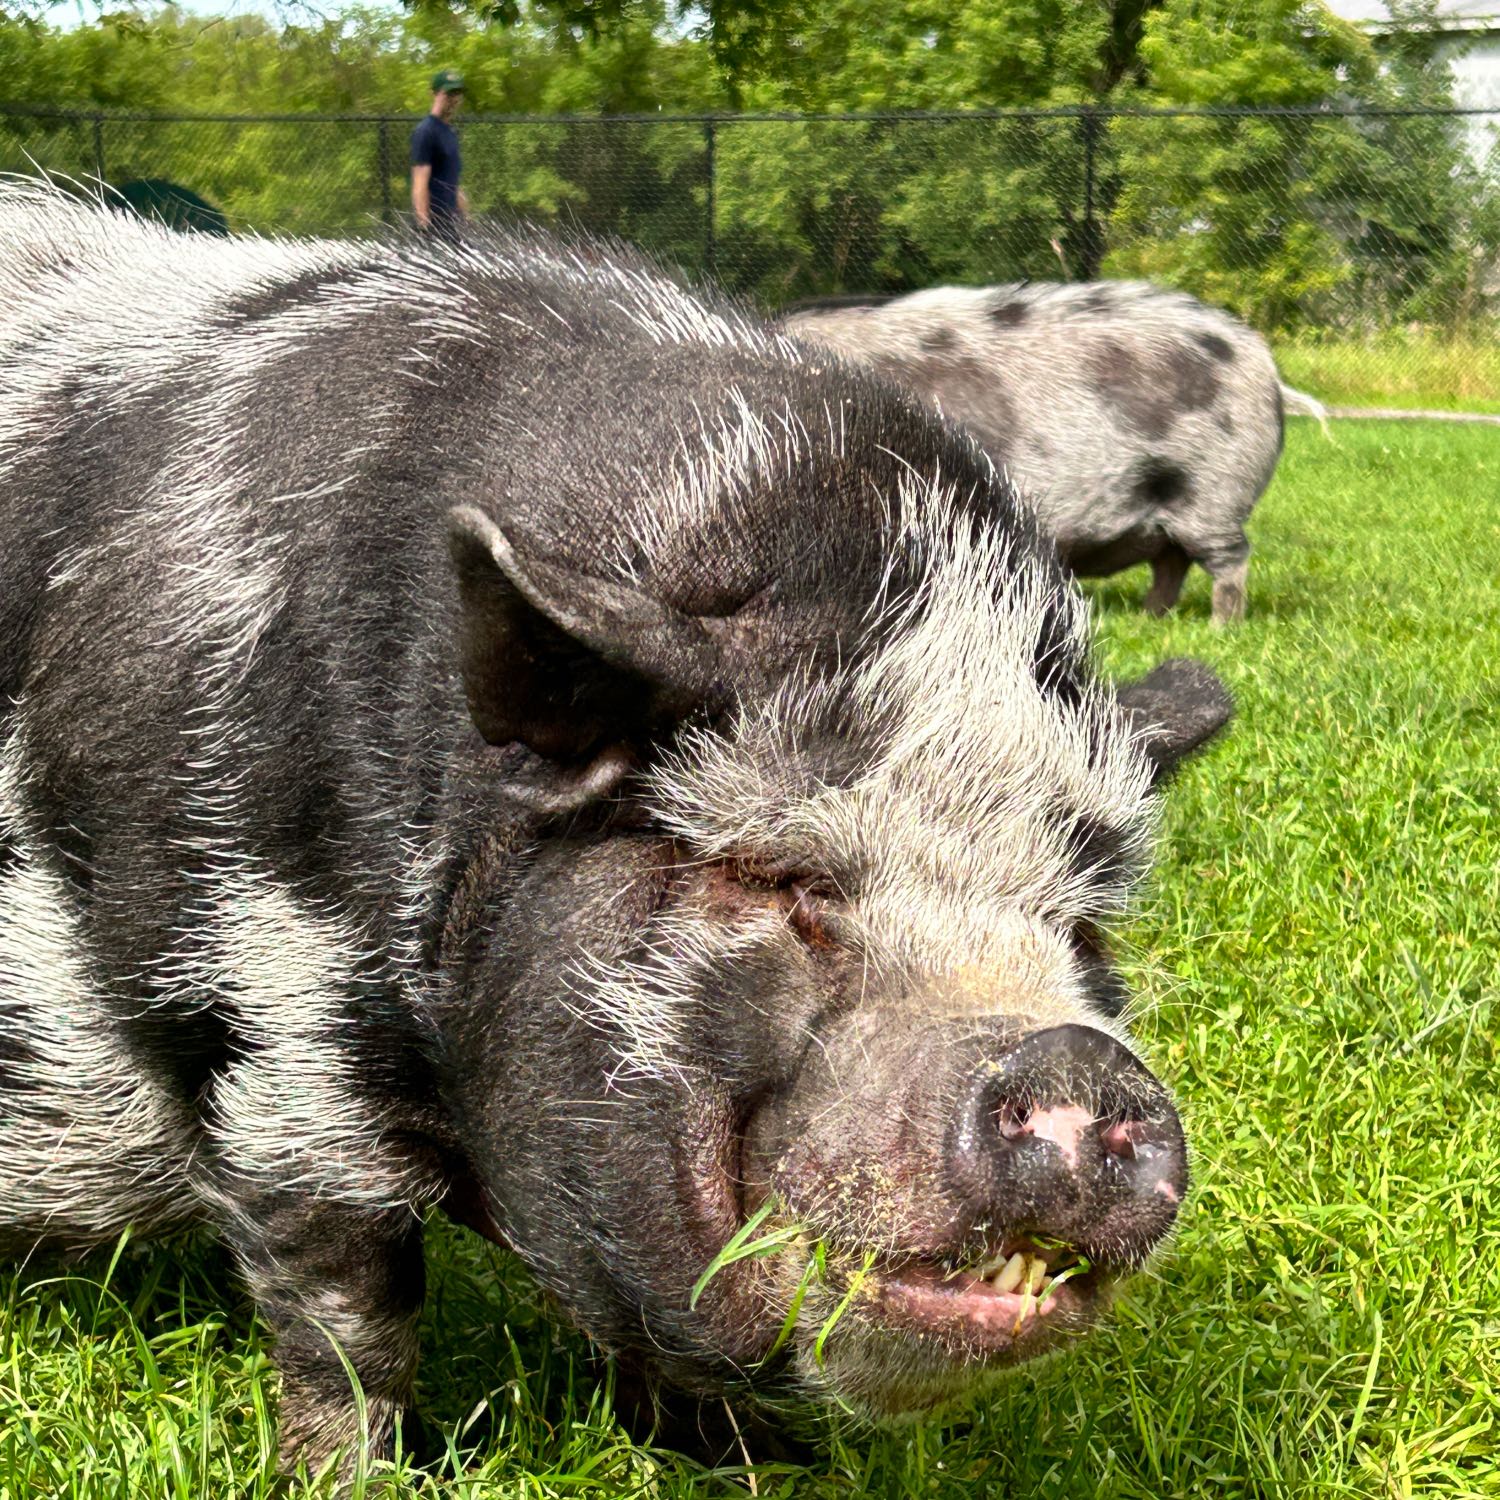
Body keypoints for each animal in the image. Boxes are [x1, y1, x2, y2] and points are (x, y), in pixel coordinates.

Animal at [0, 187, 1230, 1476]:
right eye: (782, 877)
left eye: (1082, 928)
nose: (1075, 1058)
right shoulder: (275, 1009)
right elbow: (346, 1303)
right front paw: (343, 1476)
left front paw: (757, 1465)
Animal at [786, 282, 1326, 627]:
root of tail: (1266, 369)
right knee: (1172, 563)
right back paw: (1149, 620)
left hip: (1213, 491)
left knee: (1230, 560)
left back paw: (1220, 628)